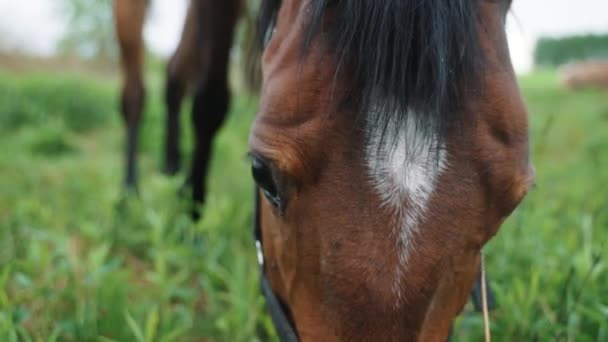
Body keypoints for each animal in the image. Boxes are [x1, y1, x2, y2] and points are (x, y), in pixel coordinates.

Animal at [113, 0, 240, 211]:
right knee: (136, 93)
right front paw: (193, 209)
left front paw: (190, 199)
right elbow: (209, 100)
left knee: (175, 73)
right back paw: (130, 191)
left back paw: (173, 169)